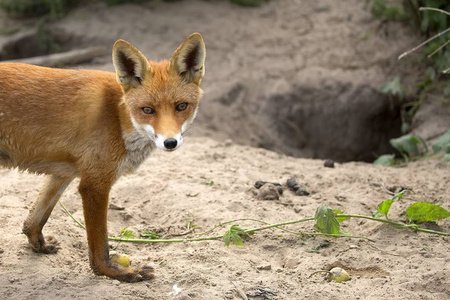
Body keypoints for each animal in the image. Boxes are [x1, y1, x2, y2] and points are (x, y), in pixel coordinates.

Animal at [0, 34, 207, 282]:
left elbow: (35, 217)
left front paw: (38, 245)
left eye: (181, 106)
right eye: (147, 110)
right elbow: (99, 248)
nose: (170, 142)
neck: (118, 117)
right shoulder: (94, 184)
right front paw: (117, 273)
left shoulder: (65, 172)